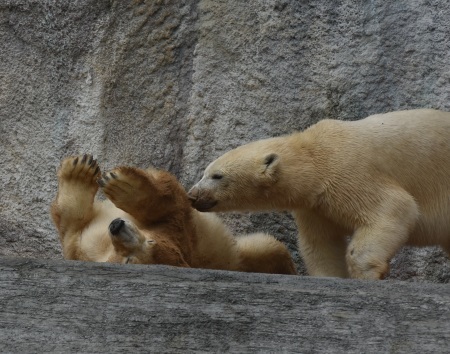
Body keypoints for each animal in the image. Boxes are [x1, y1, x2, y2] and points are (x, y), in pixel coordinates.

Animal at [50, 153, 296, 276]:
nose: (117, 226)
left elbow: (173, 204)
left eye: (129, 260)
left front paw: (124, 185)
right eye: (148, 240)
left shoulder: (179, 233)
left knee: (268, 247)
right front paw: (80, 169)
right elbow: (70, 227)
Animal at [187, 108, 450, 280]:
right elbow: (321, 242)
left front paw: (368, 272)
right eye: (205, 172)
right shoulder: (315, 205)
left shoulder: (349, 171)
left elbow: (394, 207)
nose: (192, 195)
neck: (314, 156)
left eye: (217, 175)